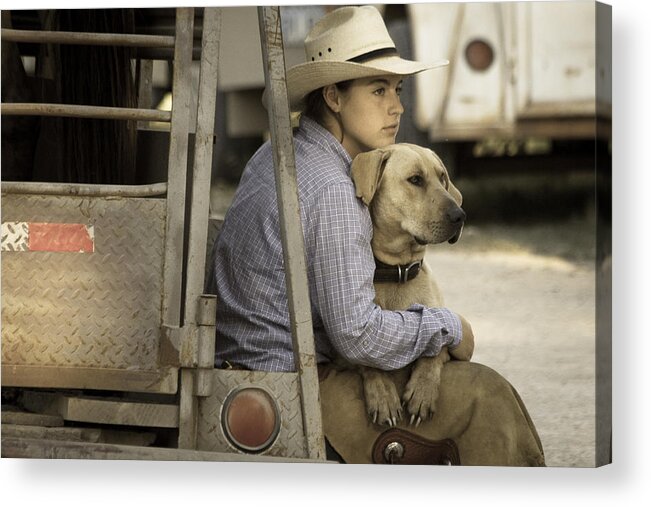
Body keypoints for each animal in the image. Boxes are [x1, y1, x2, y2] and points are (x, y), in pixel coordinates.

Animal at [352, 143, 474, 428]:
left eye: (442, 177)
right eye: (415, 180)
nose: (460, 216)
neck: (398, 272)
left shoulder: (441, 321)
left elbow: (435, 348)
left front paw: (423, 389)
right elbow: (368, 361)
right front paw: (383, 393)